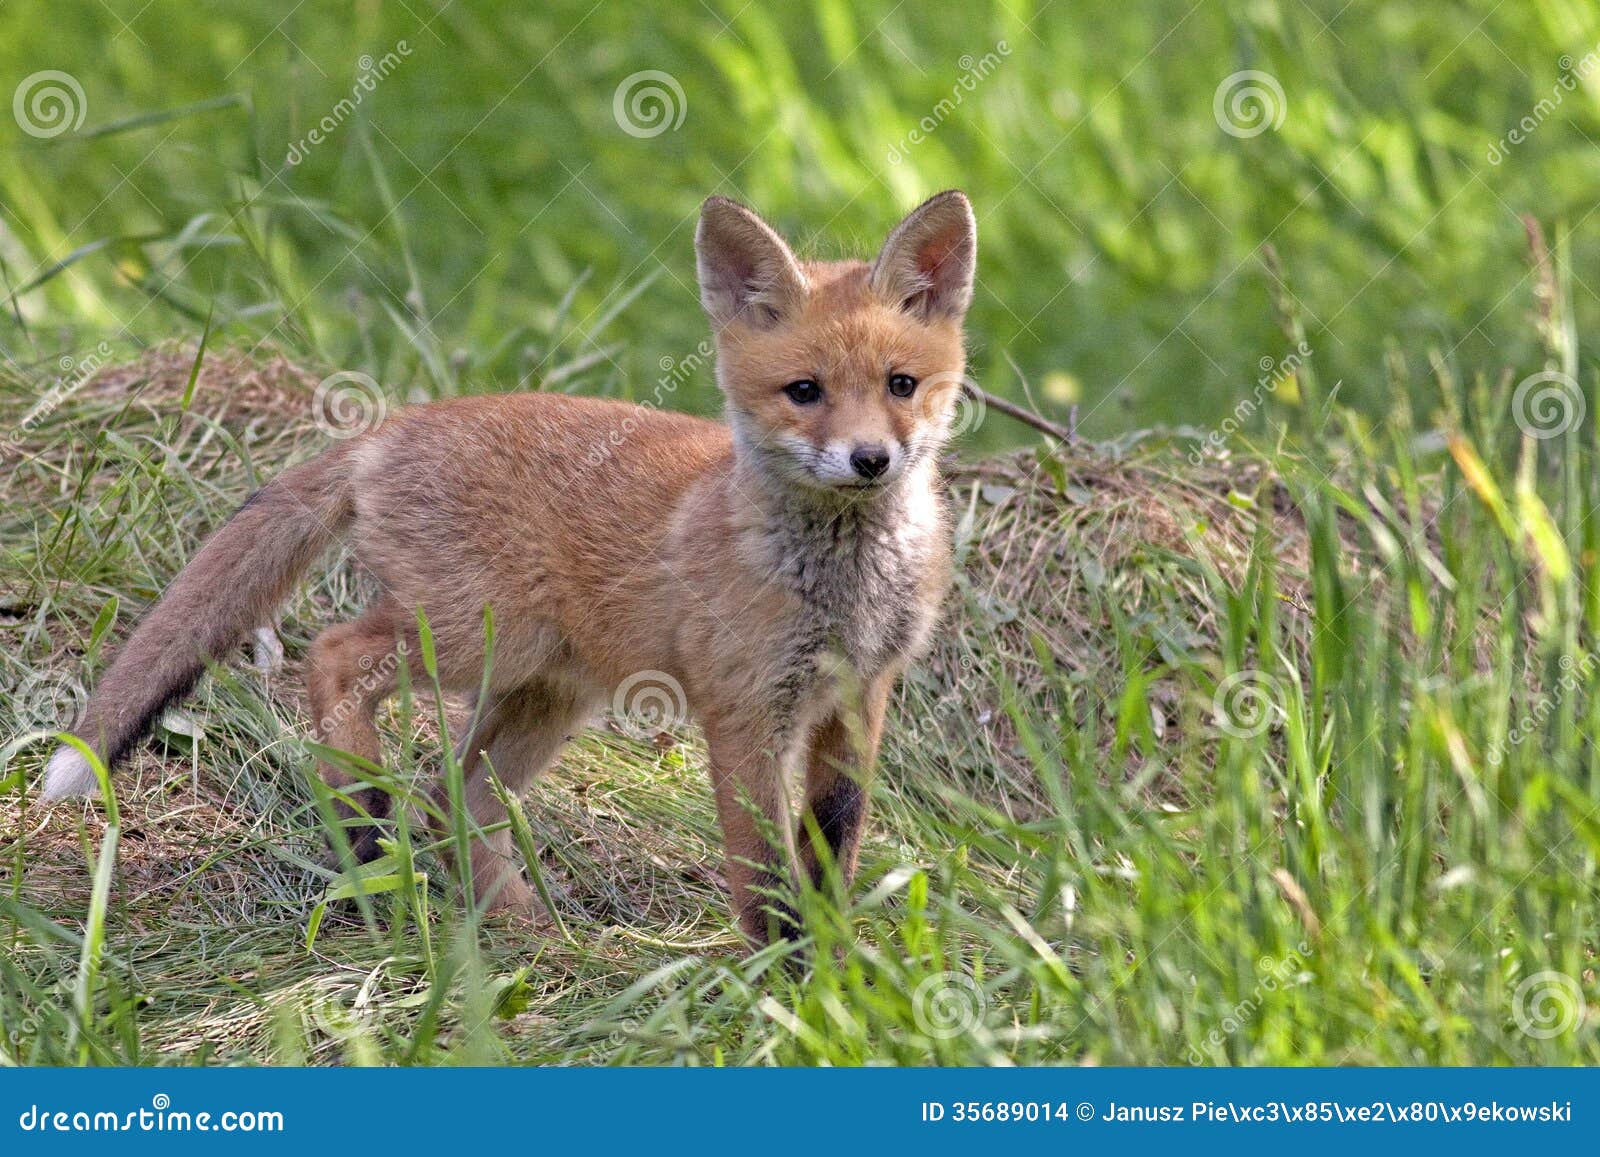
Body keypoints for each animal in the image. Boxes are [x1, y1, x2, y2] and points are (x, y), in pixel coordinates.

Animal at [42, 190, 978, 946]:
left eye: (900, 384)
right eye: (804, 392)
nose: (870, 460)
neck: (842, 586)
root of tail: (386, 429)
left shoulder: (859, 696)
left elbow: (834, 844)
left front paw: (837, 959)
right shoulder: (745, 710)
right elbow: (762, 870)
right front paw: (780, 977)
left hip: (544, 693)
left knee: (451, 805)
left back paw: (529, 928)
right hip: (475, 636)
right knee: (336, 657)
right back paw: (362, 810)